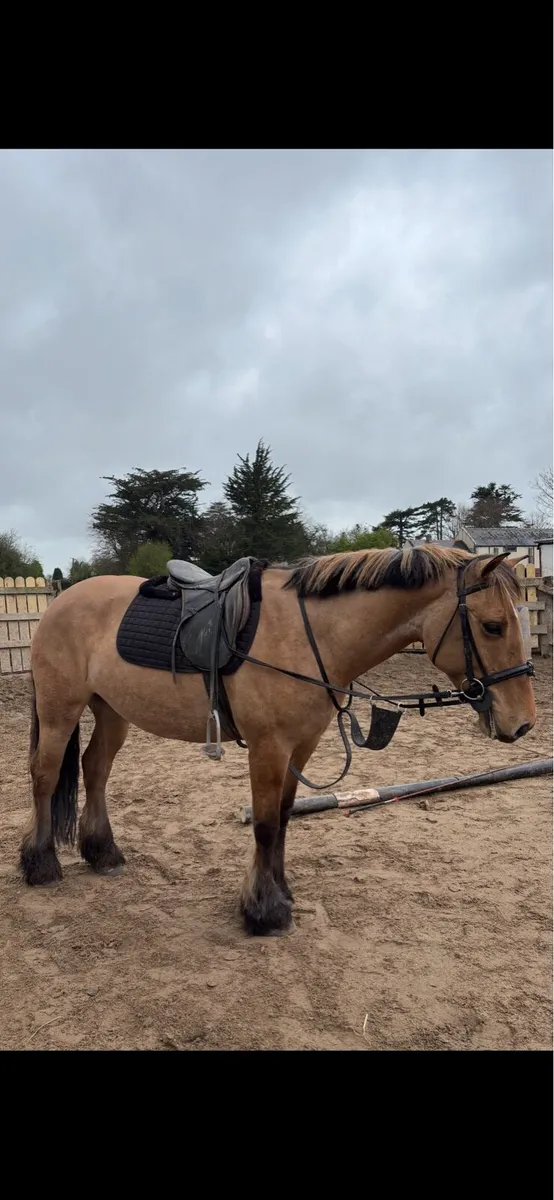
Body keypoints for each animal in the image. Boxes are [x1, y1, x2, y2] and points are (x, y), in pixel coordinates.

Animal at [20, 545, 536, 936]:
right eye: (493, 626)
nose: (524, 723)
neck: (312, 636)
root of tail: (59, 603)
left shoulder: (301, 746)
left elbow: (286, 818)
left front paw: (281, 892)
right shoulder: (269, 747)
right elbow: (266, 825)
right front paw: (263, 911)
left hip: (112, 711)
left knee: (95, 769)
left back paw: (102, 853)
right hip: (61, 709)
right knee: (45, 775)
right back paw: (40, 864)